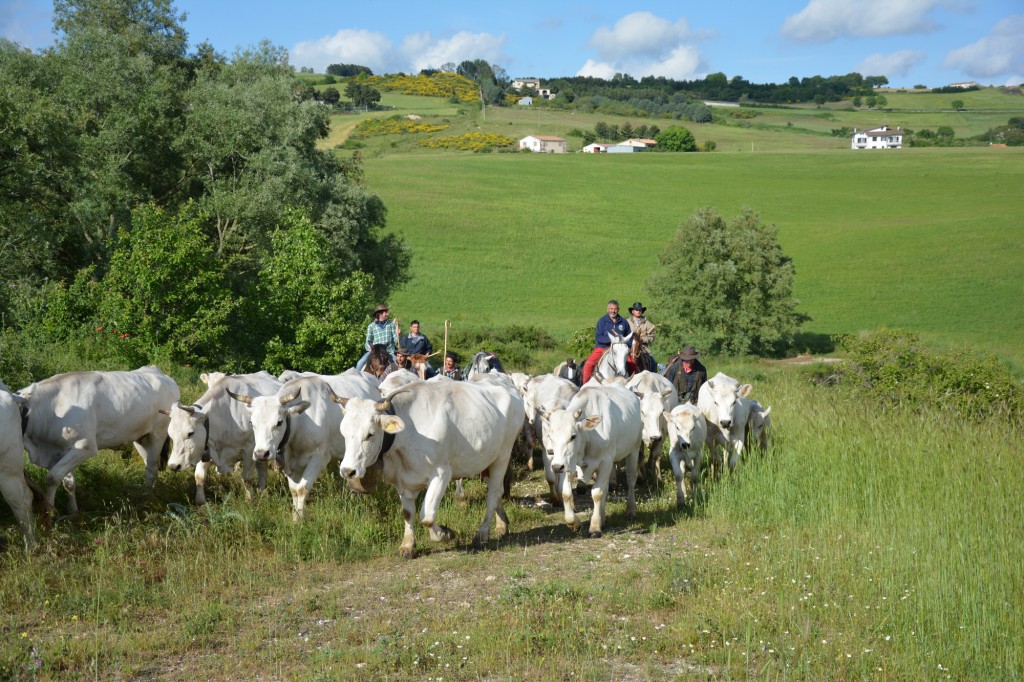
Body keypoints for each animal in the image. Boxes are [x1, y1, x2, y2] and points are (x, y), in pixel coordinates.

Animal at [18, 366, 179, 509]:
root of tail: (160, 373)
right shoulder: (60, 451)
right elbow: (68, 482)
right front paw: (73, 512)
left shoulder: (84, 446)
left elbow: (53, 477)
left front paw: (50, 510)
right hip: (142, 438)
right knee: (150, 466)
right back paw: (146, 493)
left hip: (158, 434)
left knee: (151, 467)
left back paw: (146, 498)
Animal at [163, 368, 284, 501]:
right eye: (170, 434)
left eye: (190, 433)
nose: (174, 465)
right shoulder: (205, 447)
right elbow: (199, 476)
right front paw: (201, 502)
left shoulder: (250, 450)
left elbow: (247, 478)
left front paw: (249, 500)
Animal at [228, 374, 344, 518]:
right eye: (251, 422)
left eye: (279, 422)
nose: (261, 454)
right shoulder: (287, 463)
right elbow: (294, 489)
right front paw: (295, 516)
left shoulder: (319, 457)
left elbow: (302, 488)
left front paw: (300, 518)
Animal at [337, 376, 528, 557]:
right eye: (343, 433)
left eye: (370, 434)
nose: (347, 471)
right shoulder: (403, 480)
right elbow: (407, 513)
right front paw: (407, 545)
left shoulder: (441, 473)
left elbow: (427, 516)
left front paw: (445, 533)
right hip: (487, 458)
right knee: (497, 492)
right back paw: (502, 524)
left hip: (502, 455)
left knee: (493, 494)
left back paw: (482, 534)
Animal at [536, 378, 638, 532]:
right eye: (550, 436)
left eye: (573, 436)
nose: (556, 467)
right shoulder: (568, 462)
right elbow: (566, 493)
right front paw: (574, 522)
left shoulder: (606, 461)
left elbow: (597, 493)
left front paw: (595, 527)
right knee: (606, 487)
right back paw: (603, 518)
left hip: (634, 449)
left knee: (631, 479)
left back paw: (630, 510)